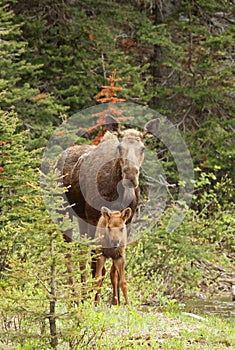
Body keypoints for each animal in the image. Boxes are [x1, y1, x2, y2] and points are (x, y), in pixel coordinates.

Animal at [57, 117, 159, 276]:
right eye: (119, 147)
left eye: (143, 148)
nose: (130, 176)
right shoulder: (94, 219)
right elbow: (97, 265)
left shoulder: (127, 222)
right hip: (63, 210)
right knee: (69, 251)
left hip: (81, 217)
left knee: (81, 254)